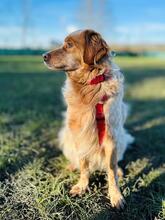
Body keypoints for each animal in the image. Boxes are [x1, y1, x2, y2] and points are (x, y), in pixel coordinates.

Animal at [43, 29, 133, 210]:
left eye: (69, 45)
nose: (43, 56)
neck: (91, 85)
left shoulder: (111, 137)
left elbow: (111, 169)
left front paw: (116, 195)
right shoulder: (79, 134)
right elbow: (84, 164)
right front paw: (82, 186)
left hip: (121, 138)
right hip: (66, 136)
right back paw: (72, 166)